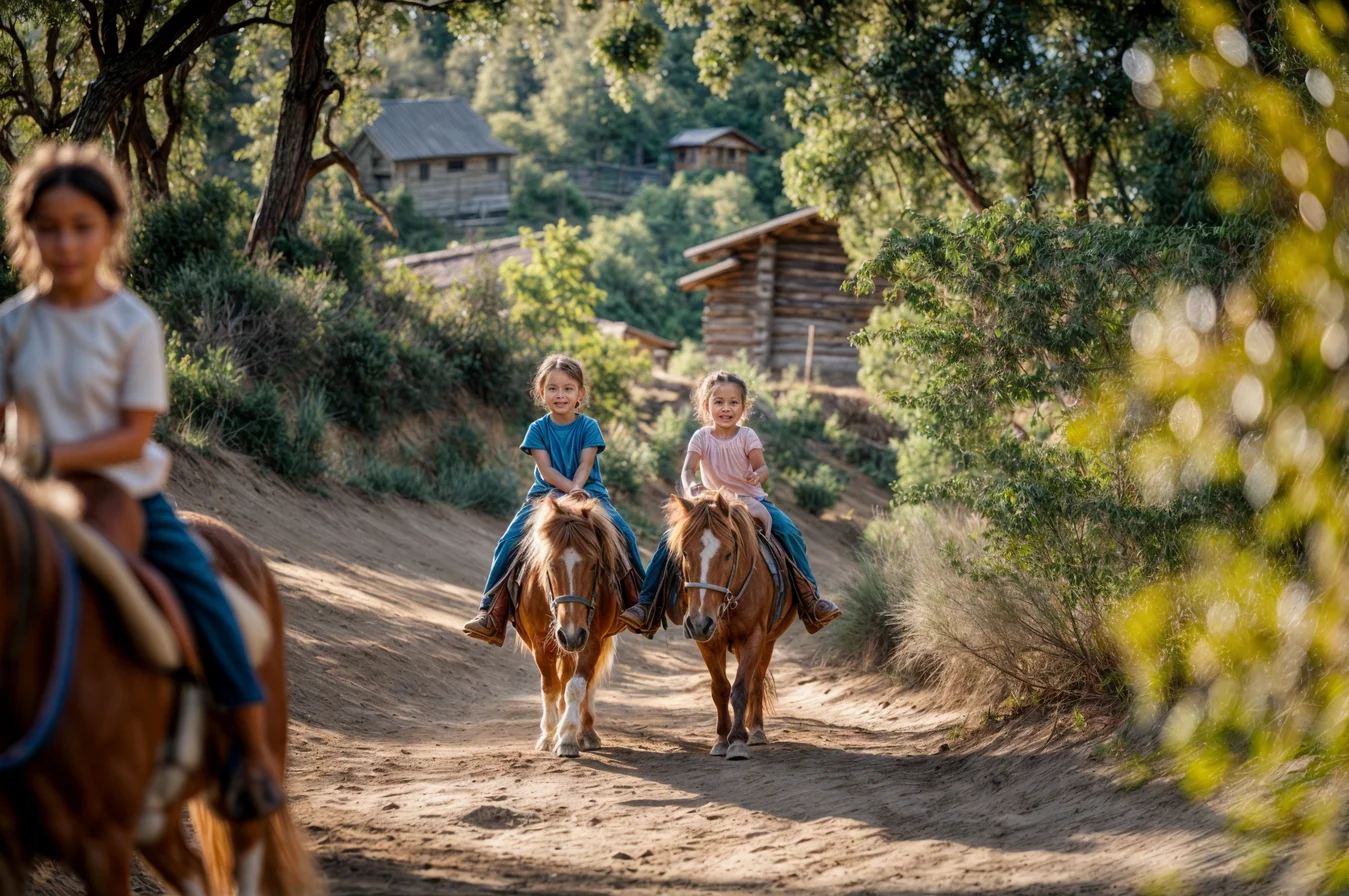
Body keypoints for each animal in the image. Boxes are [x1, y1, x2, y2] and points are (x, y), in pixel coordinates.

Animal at [512, 493, 623, 761]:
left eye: (594, 565)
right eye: (551, 565)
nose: (571, 635)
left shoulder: (591, 641)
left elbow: (576, 687)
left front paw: (568, 738)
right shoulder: (541, 643)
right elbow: (551, 687)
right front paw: (549, 735)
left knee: (587, 684)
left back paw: (587, 733)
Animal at [666, 493, 793, 761]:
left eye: (727, 554)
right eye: (685, 553)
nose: (700, 622)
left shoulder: (755, 637)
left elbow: (741, 688)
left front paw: (737, 741)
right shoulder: (708, 642)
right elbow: (721, 689)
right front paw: (721, 739)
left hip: (768, 642)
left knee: (757, 680)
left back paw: (756, 731)